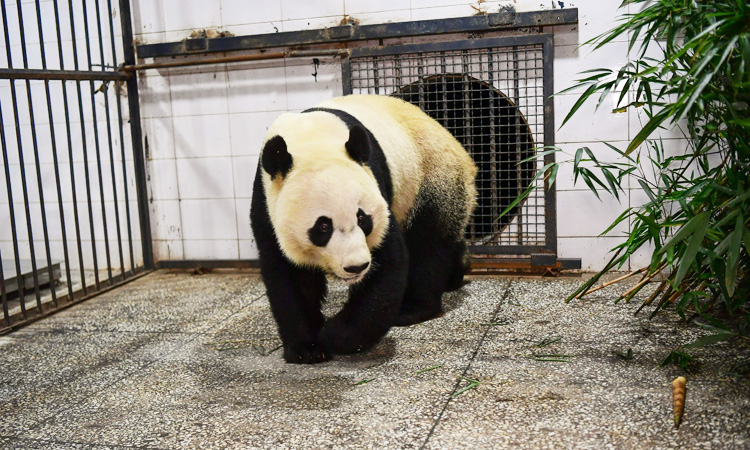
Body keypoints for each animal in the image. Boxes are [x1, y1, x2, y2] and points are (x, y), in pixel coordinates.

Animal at [251, 93, 476, 364]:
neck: (312, 140)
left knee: (429, 245)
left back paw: (413, 308)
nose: (356, 266)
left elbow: (387, 265)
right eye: (323, 226)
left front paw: (336, 335)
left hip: (431, 176)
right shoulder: (267, 202)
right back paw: (458, 270)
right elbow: (290, 276)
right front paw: (307, 347)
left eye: (362, 218)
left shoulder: (375, 181)